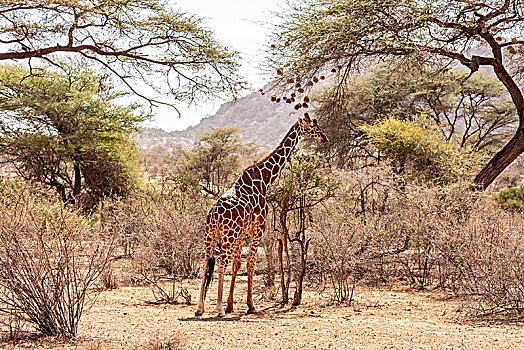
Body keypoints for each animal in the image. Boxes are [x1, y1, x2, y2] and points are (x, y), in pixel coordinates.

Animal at [195, 114, 328, 318]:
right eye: (313, 126)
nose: (324, 137)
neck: (265, 179)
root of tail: (214, 216)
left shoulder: (242, 232)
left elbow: (237, 264)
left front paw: (231, 305)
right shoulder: (258, 228)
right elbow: (250, 264)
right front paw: (250, 306)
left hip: (210, 235)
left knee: (206, 262)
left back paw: (200, 308)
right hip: (227, 236)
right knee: (221, 262)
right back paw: (218, 309)